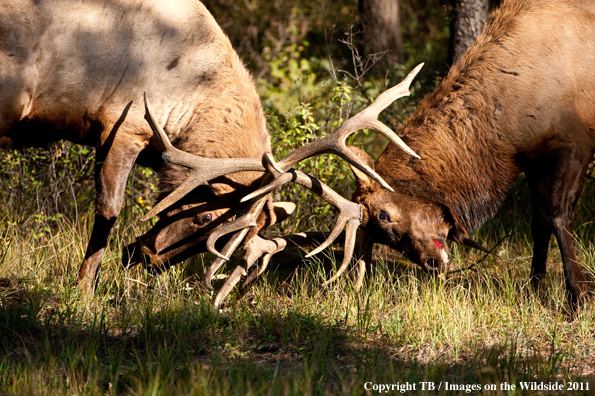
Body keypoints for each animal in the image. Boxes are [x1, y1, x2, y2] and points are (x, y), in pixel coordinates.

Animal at [352, 0, 592, 310]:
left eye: (383, 214)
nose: (431, 264)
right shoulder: (533, 159)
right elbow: (539, 223)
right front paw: (534, 291)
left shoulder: (576, 142)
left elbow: (559, 216)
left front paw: (578, 297)